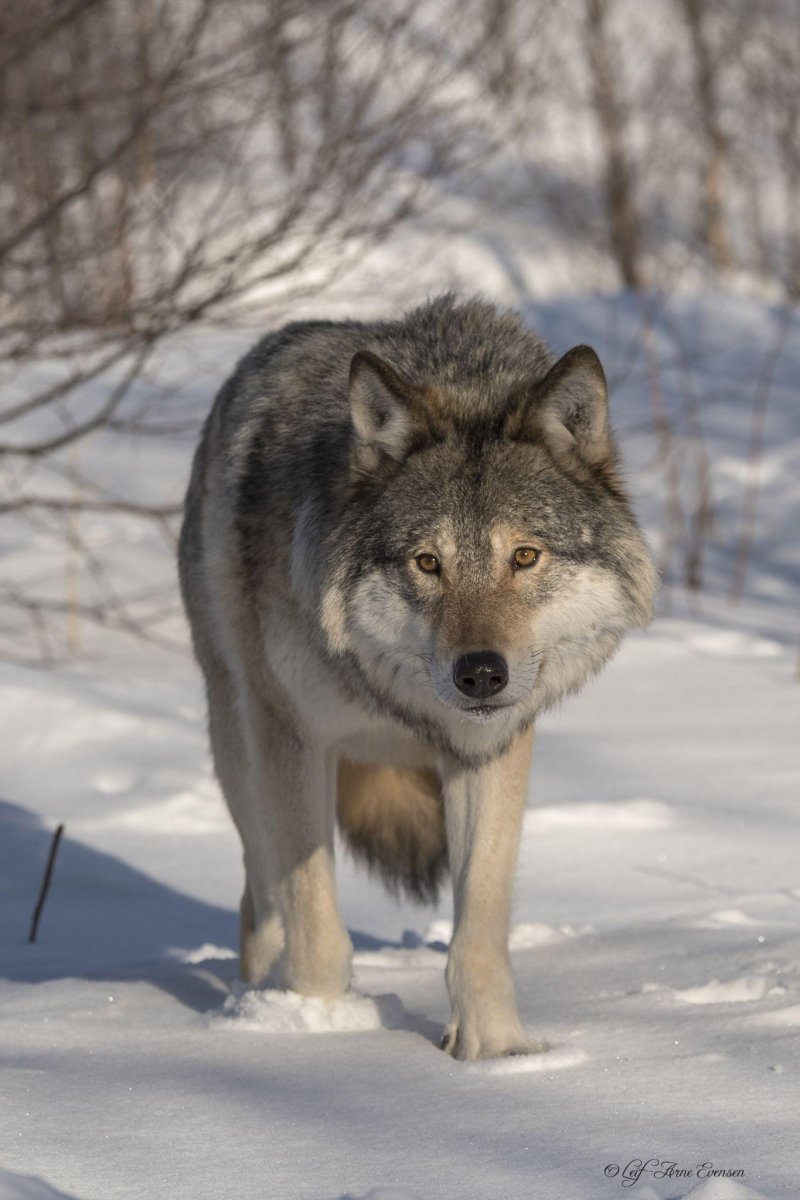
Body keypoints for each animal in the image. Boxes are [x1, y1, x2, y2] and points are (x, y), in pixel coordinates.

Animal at [179, 297, 657, 1060]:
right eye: (428, 563)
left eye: (525, 556)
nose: (481, 674)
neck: (392, 694)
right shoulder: (291, 738)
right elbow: (315, 923)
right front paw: (320, 1029)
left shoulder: (490, 750)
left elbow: (479, 930)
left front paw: (494, 1055)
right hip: (238, 743)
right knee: (260, 899)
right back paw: (260, 1001)